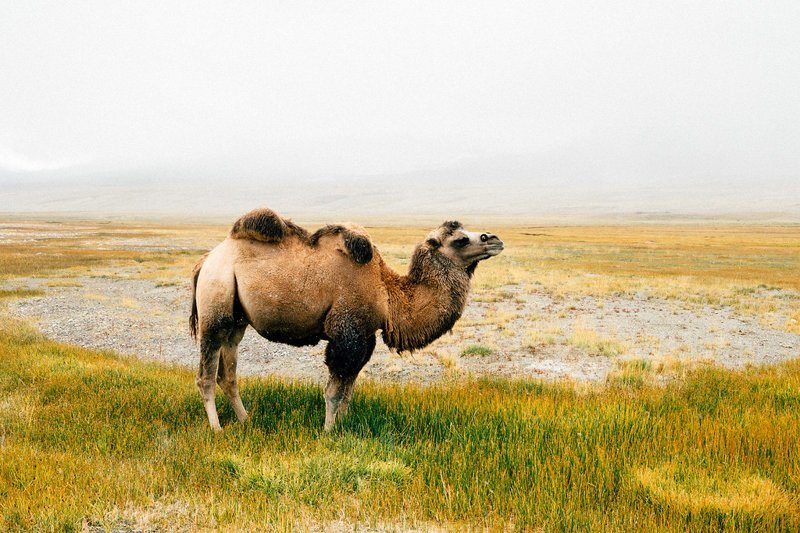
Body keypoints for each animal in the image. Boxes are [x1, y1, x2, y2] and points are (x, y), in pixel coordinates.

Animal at [191, 206, 504, 430]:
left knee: (228, 374)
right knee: (206, 375)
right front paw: (329, 431)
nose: (495, 239)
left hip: (236, 321)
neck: (386, 292)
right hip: (214, 304)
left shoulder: (365, 337)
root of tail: (206, 259)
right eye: (461, 239)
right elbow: (334, 390)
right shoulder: (347, 333)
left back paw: (246, 420)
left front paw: (343, 425)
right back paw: (217, 428)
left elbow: (349, 389)